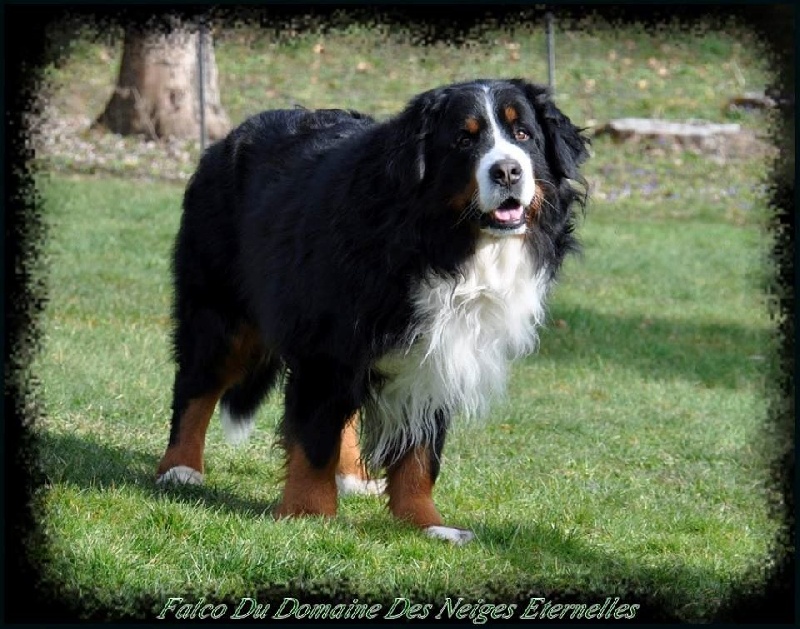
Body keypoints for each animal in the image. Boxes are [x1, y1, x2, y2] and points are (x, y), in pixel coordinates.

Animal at [156, 78, 589, 544]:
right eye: (464, 140)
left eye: (523, 134)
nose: (507, 170)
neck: (442, 244)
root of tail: (227, 138)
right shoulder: (327, 343)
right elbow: (314, 438)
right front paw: (309, 513)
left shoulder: (439, 351)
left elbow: (419, 453)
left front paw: (426, 523)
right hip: (220, 310)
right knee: (198, 383)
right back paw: (180, 468)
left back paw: (351, 476)